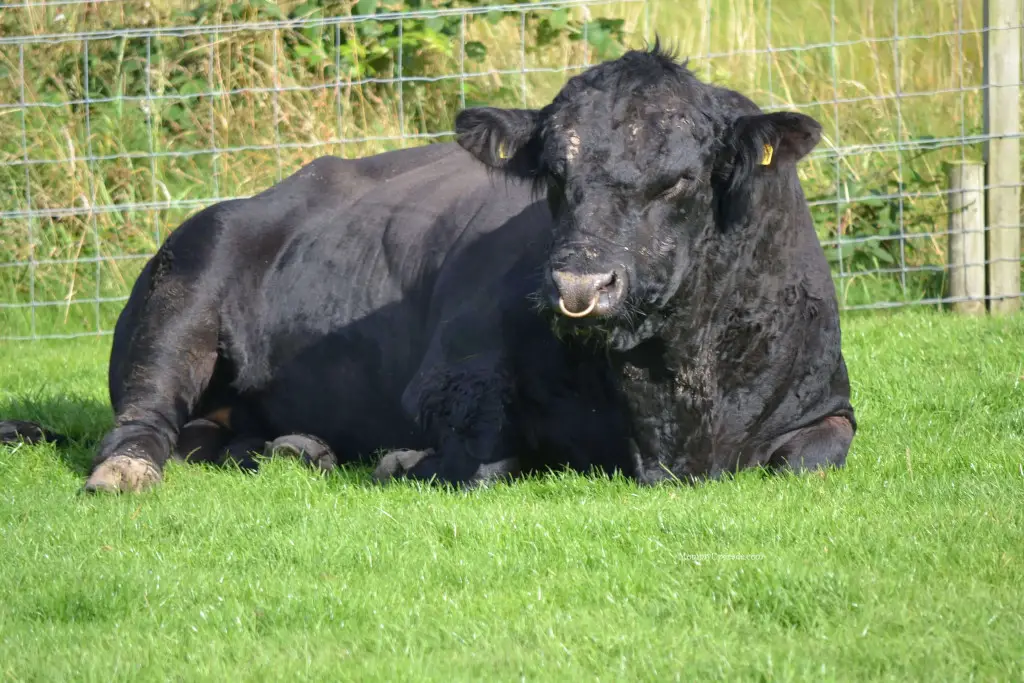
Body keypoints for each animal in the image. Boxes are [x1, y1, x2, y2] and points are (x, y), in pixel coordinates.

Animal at [2, 46, 856, 491]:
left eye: (680, 179)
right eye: (554, 176)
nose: (579, 287)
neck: (675, 409)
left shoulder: (828, 408)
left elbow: (811, 461)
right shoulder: (451, 376)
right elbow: (486, 458)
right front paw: (403, 456)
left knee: (209, 436)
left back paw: (295, 447)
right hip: (184, 285)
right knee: (145, 414)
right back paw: (129, 468)